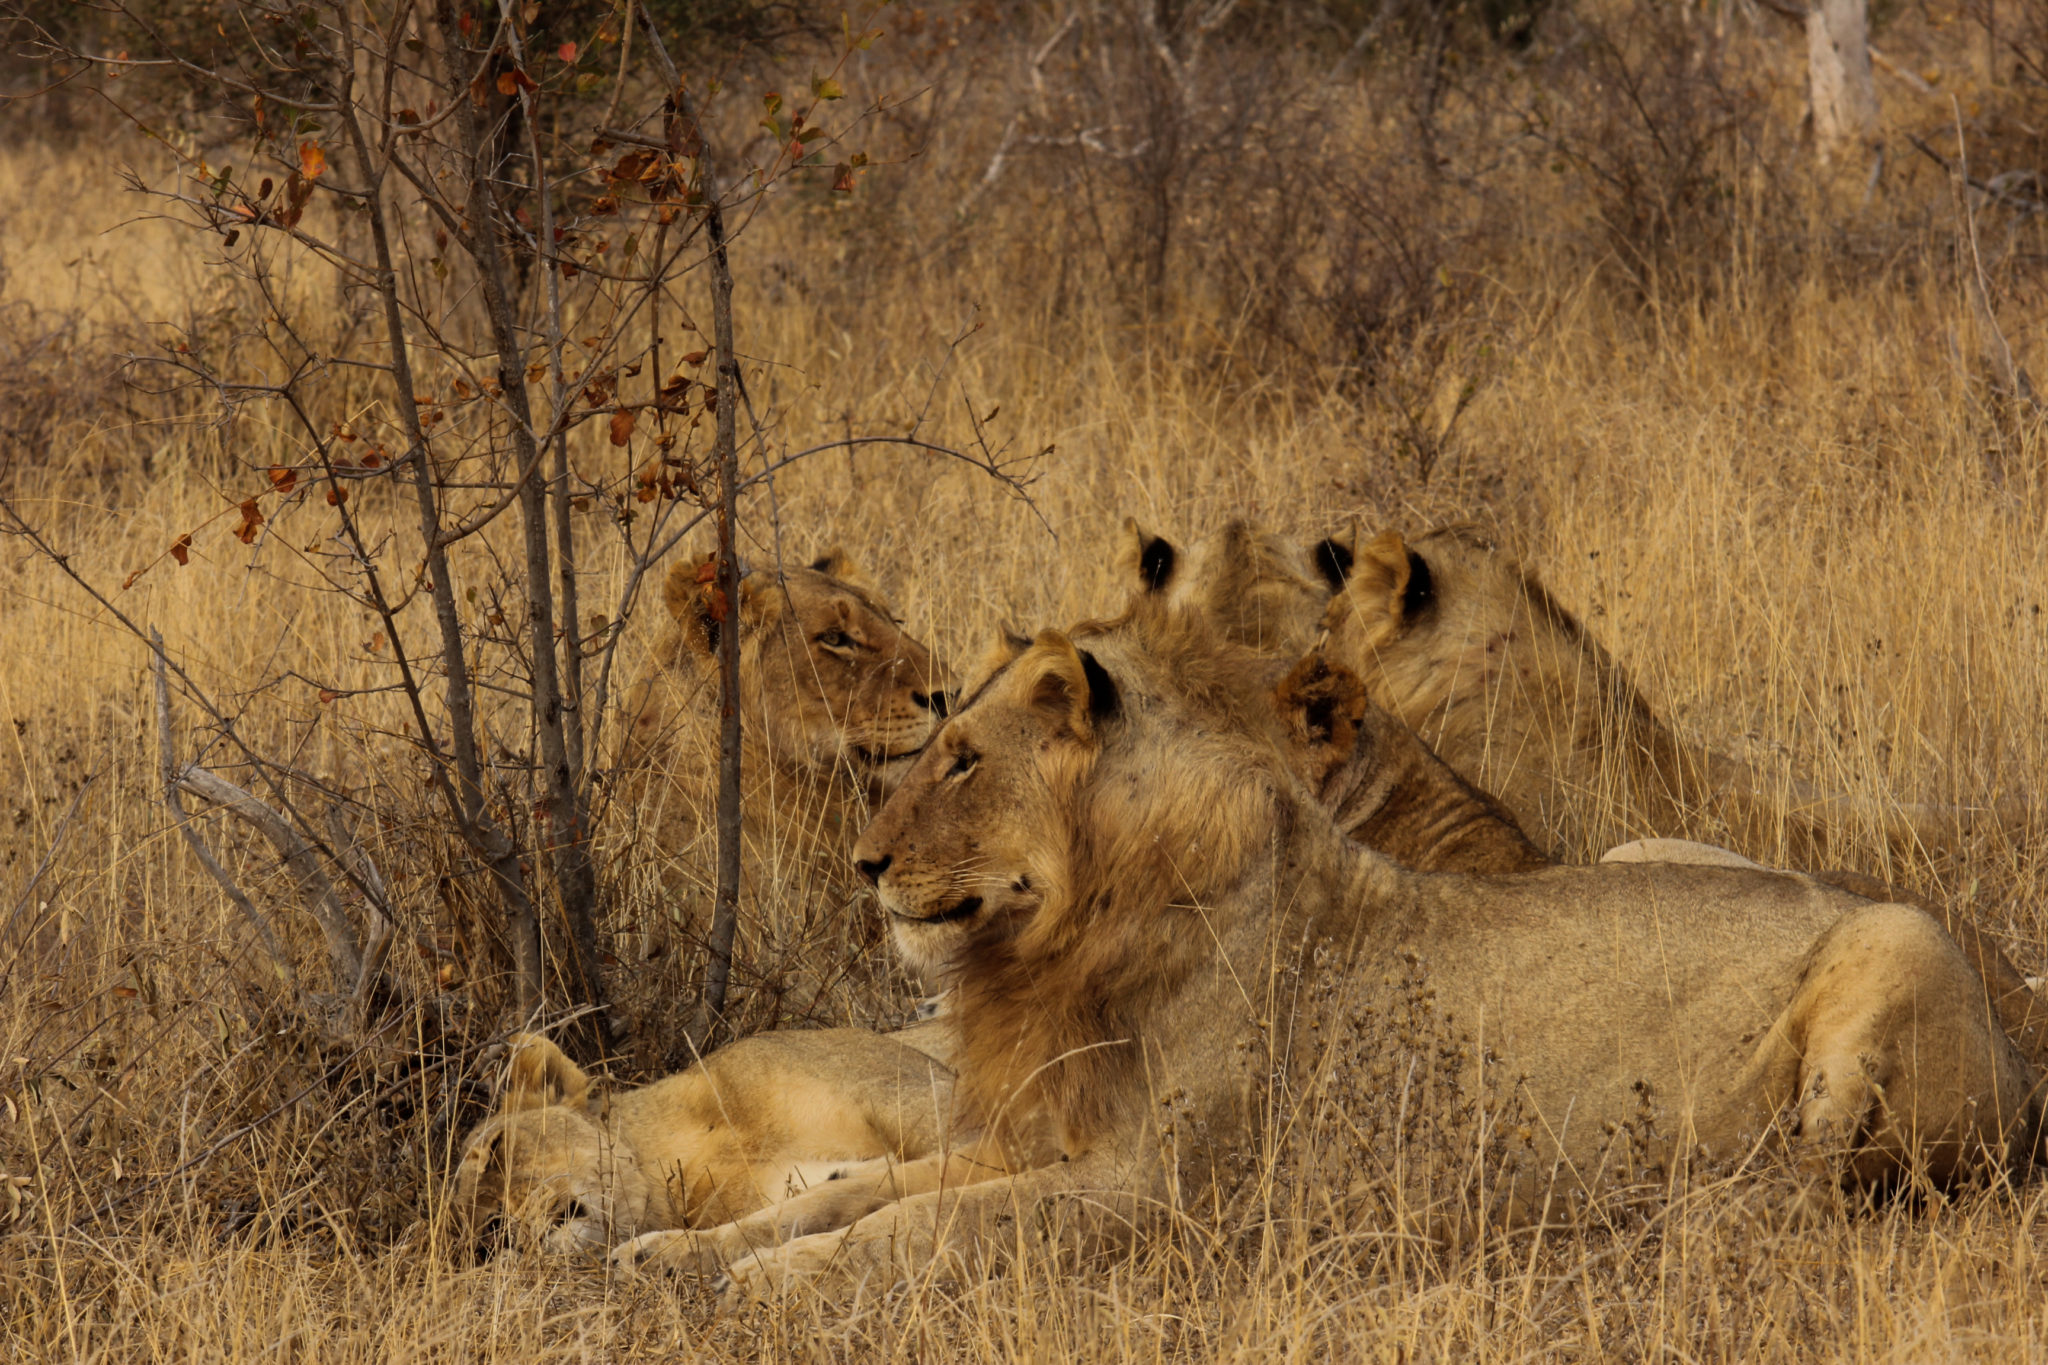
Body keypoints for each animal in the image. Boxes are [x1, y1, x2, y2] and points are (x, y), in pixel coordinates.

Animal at [712, 597, 2039, 1301]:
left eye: (963, 762)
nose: (863, 865)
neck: (1069, 935)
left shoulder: (1166, 1192)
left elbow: (930, 1228)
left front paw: (770, 1286)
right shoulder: (1033, 1134)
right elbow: (866, 1192)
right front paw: (688, 1250)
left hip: (1892, 945)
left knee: (1813, 1191)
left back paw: (1633, 1217)